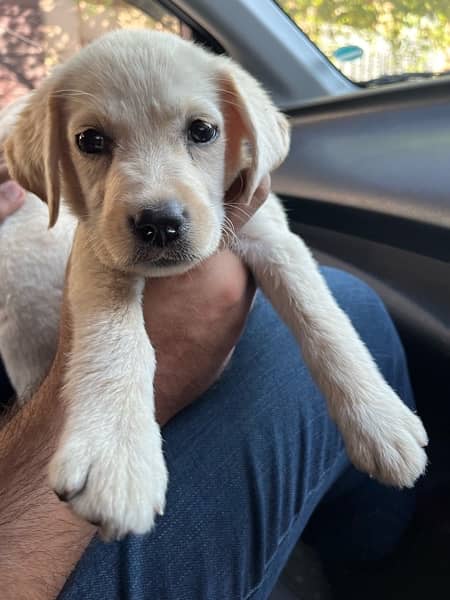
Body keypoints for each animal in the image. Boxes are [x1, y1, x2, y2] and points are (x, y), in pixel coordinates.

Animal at [1, 30, 428, 540]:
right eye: (91, 140)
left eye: (203, 131)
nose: (159, 224)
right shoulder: (97, 255)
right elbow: (116, 340)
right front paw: (118, 454)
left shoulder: (272, 238)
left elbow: (324, 321)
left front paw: (380, 421)